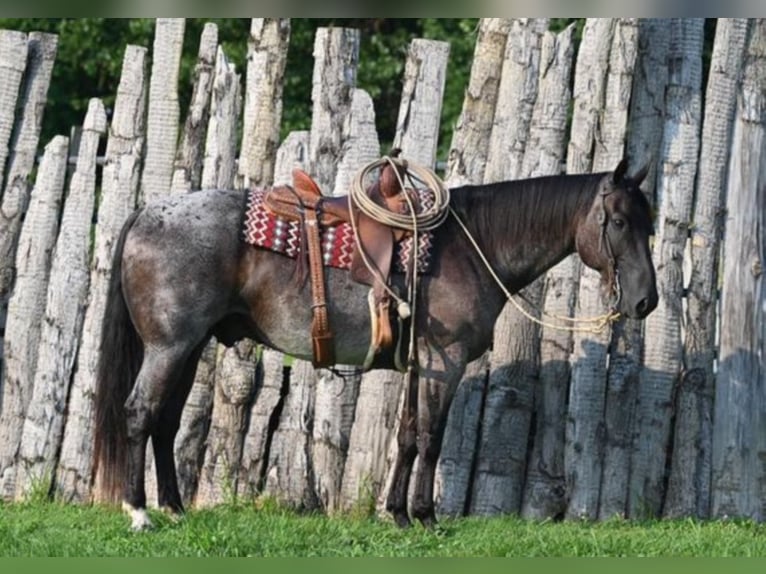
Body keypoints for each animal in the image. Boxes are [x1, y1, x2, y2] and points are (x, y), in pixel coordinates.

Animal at [93, 156, 660, 532]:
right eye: (618, 222)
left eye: (650, 224)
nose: (645, 301)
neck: (472, 245)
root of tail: (147, 212)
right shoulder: (445, 360)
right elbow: (431, 436)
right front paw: (427, 517)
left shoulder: (421, 362)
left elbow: (407, 435)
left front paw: (398, 515)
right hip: (169, 347)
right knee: (140, 412)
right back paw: (139, 512)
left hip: (188, 348)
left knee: (165, 422)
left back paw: (172, 507)